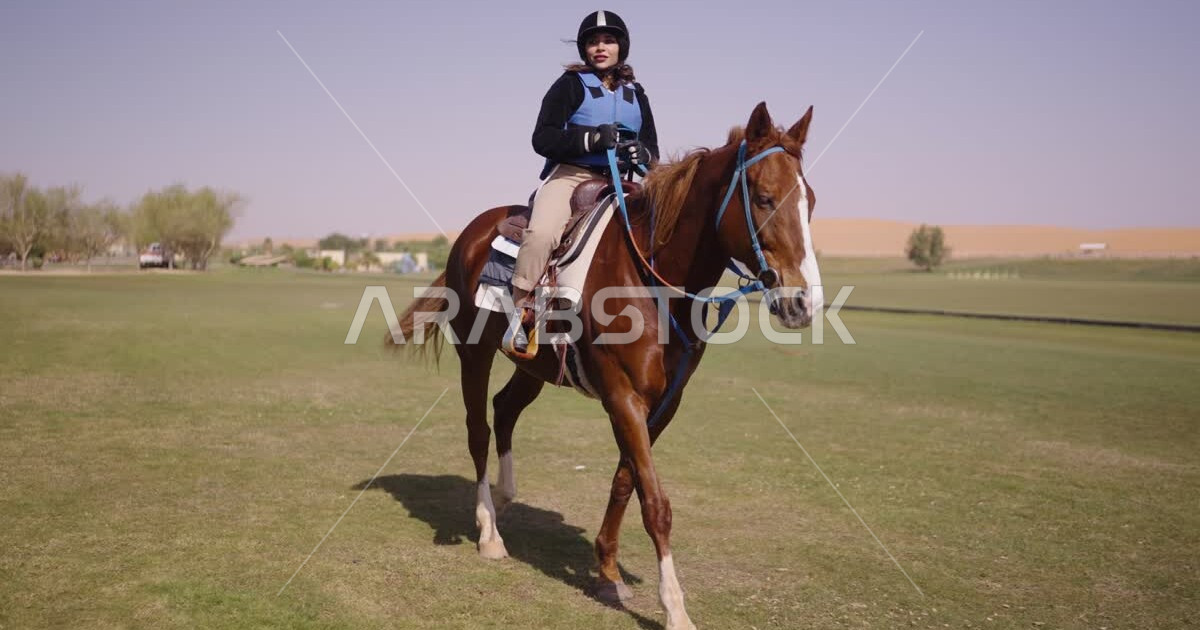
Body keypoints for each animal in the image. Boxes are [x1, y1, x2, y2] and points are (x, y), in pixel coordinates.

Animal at [387, 102, 818, 630]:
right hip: (475, 355)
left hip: (533, 365)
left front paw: (608, 571)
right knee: (478, 430)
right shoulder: (622, 397)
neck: (653, 281)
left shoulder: (662, 404)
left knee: (505, 409)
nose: (801, 303)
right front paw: (674, 607)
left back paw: (506, 497)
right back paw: (489, 532)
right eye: (763, 197)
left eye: (810, 202)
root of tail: (471, 233)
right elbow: (655, 502)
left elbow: (625, 482)